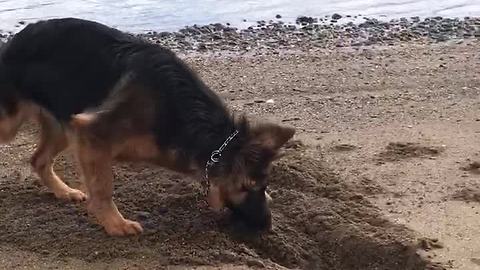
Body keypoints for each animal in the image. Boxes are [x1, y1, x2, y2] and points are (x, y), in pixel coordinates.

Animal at [0, 17, 294, 235]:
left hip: (62, 124)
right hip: (12, 124)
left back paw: (64, 191)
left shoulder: (81, 134)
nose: (267, 227)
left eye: (264, 186)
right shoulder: (93, 136)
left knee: (39, 160)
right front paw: (116, 225)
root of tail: (12, 43)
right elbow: (103, 189)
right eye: (249, 186)